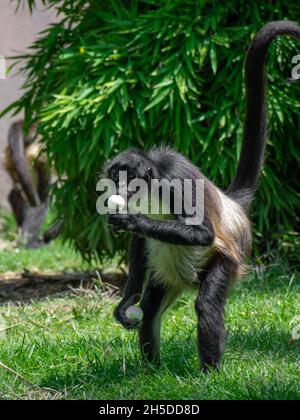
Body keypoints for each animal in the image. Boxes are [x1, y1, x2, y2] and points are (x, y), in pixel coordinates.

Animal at [103, 22, 300, 370]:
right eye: (116, 180)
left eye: (129, 181)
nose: (120, 191)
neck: (155, 181)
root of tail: (232, 207)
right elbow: (140, 243)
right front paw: (126, 302)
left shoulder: (176, 181)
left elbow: (203, 234)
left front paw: (131, 219)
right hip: (168, 274)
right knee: (151, 307)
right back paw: (151, 371)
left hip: (227, 259)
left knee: (207, 303)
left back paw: (210, 373)